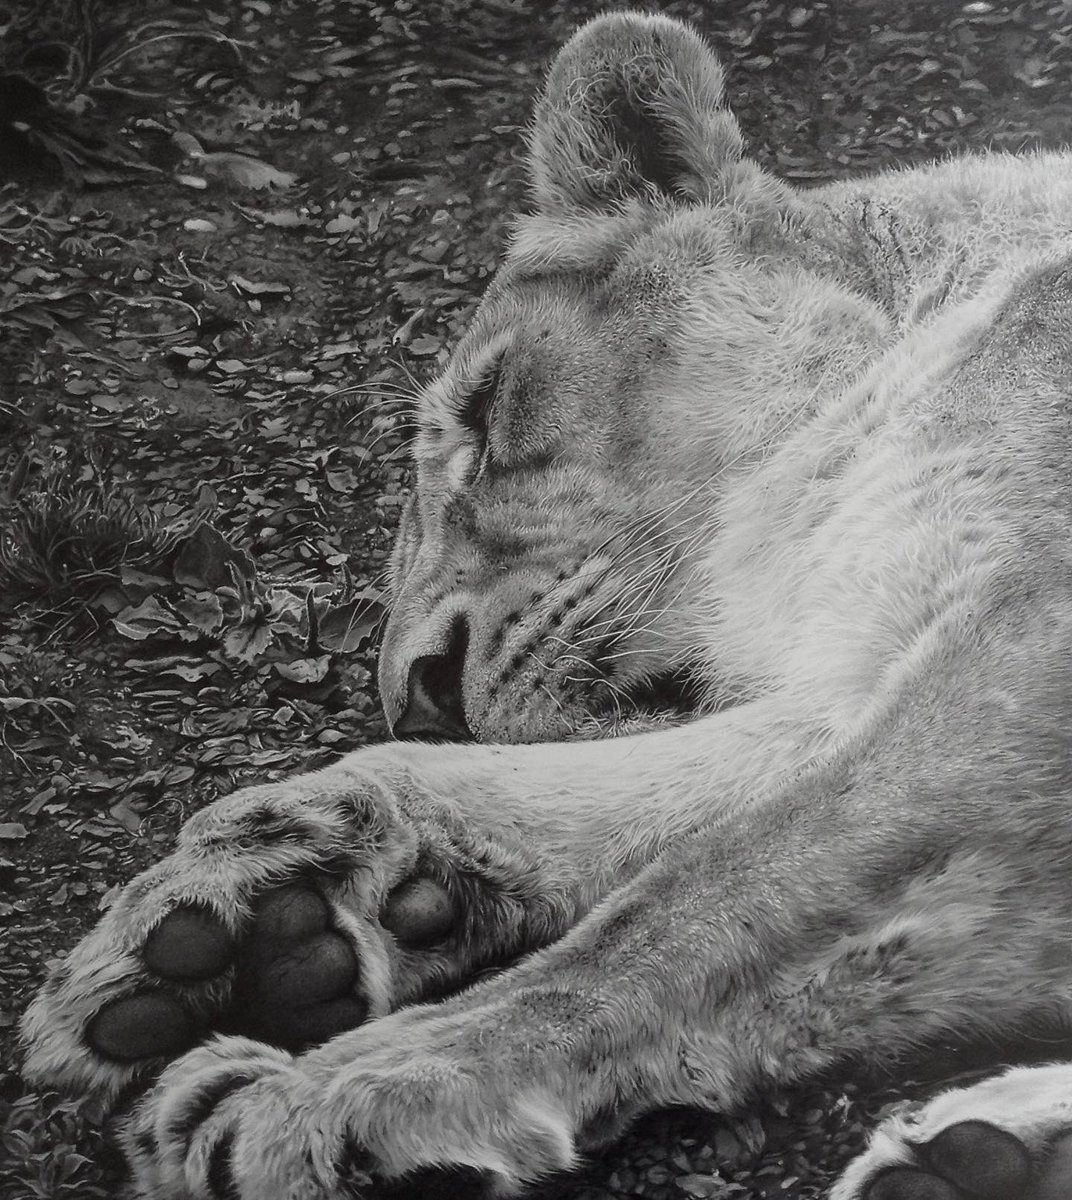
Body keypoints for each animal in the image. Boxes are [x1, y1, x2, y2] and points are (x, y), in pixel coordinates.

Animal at [19, 10, 1072, 1199]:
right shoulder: (872, 658)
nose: (420, 692)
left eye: (486, 411)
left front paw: (353, 1092)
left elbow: (706, 897)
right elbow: (639, 804)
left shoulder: (1018, 649)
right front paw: (267, 901)